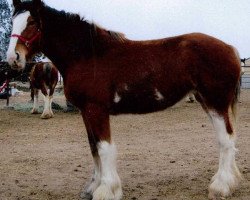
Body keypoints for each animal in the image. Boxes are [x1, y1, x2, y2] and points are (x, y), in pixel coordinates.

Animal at [7, 0, 242, 199]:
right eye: (13, 20)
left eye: (31, 22)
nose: (13, 58)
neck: (88, 55)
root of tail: (230, 48)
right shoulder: (86, 112)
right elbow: (93, 148)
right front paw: (93, 187)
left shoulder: (97, 110)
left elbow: (104, 148)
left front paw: (106, 190)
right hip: (206, 101)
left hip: (216, 102)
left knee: (226, 140)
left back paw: (220, 187)